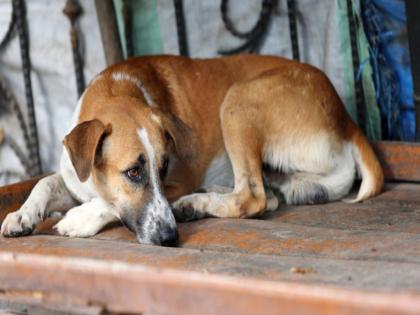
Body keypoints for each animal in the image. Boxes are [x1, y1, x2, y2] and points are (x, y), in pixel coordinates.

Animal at [0, 54, 382, 247]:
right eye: (133, 172)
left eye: (164, 167)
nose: (170, 238)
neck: (116, 88)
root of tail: (346, 119)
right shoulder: (73, 180)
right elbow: (44, 183)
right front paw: (22, 215)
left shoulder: (177, 182)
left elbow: (109, 203)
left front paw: (80, 219)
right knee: (268, 197)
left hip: (239, 98)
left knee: (253, 198)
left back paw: (194, 204)